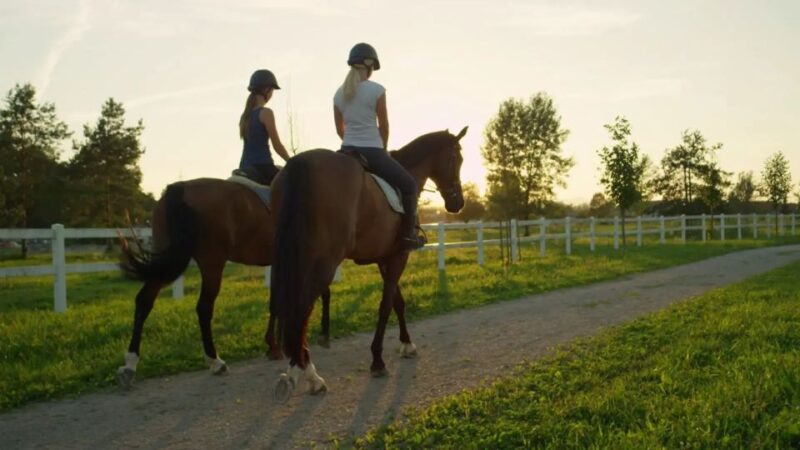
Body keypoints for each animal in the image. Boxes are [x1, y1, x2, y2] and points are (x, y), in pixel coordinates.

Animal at [115, 176, 332, 389]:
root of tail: (180, 187)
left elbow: (277, 302)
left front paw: (273, 346)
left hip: (167, 259)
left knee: (144, 301)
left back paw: (130, 364)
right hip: (212, 262)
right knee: (203, 307)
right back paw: (215, 360)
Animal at [270, 127, 467, 398]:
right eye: (457, 159)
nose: (458, 204)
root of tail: (298, 164)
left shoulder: (385, 258)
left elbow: (397, 302)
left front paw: (407, 344)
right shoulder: (399, 256)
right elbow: (386, 306)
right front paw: (378, 360)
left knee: (294, 308)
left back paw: (299, 368)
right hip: (322, 262)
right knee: (302, 309)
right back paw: (308, 374)